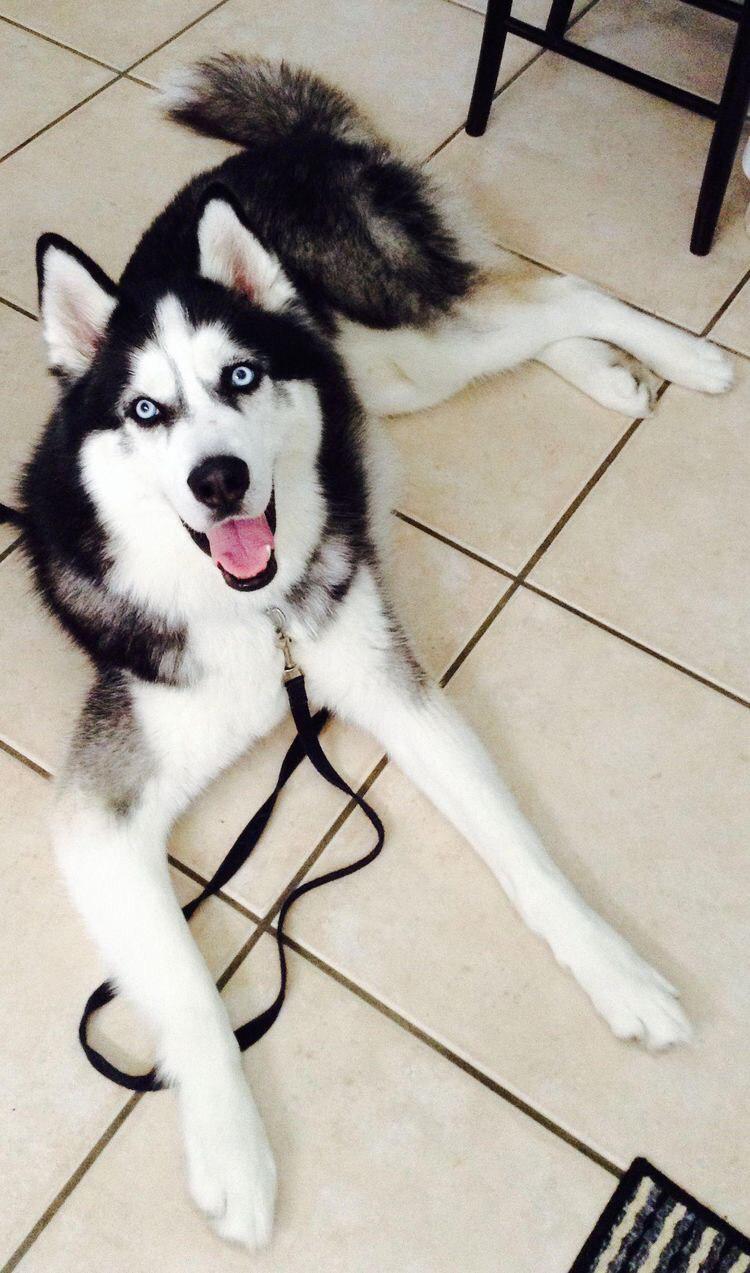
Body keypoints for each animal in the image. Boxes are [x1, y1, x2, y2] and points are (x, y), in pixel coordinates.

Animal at [19, 54, 733, 1247]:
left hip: (394, 337)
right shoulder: (99, 815)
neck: (256, 621)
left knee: (556, 291)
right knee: (527, 315)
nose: (219, 478)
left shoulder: (397, 691)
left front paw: (617, 971)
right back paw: (610, 375)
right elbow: (187, 984)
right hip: (391, 377)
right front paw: (235, 1152)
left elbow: (522, 849)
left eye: (241, 380)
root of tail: (290, 145)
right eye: (147, 410)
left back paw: (694, 358)